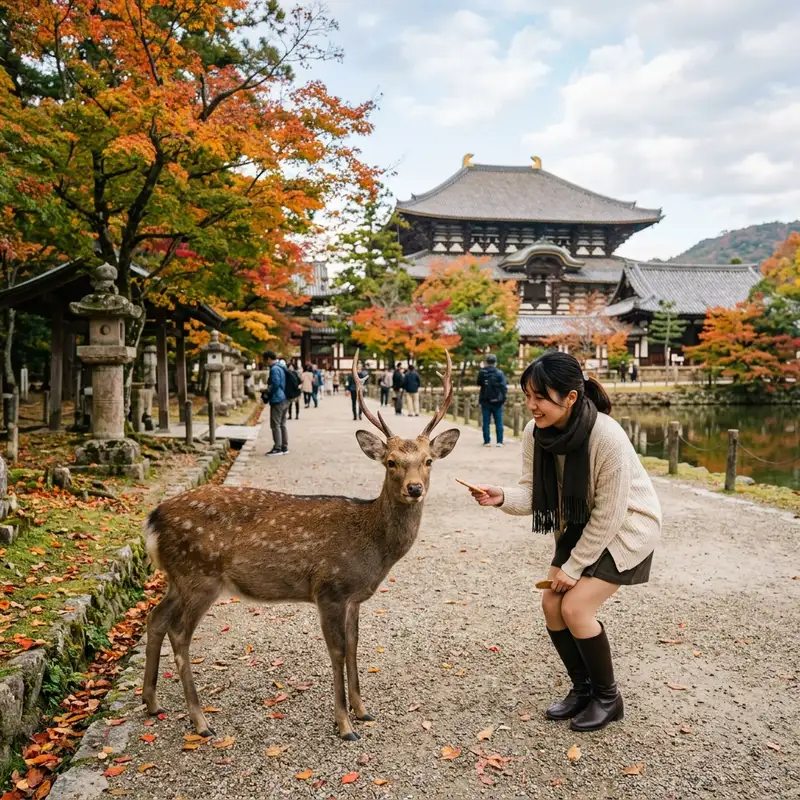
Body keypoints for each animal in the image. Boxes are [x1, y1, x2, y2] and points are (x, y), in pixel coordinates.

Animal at [141, 351, 459, 741]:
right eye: (391, 462)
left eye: (428, 460)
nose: (415, 488)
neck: (373, 548)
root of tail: (153, 518)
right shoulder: (329, 588)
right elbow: (337, 652)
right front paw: (344, 725)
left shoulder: (354, 598)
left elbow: (355, 647)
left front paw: (363, 711)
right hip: (199, 575)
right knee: (179, 633)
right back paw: (201, 722)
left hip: (177, 578)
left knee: (155, 618)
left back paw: (153, 704)